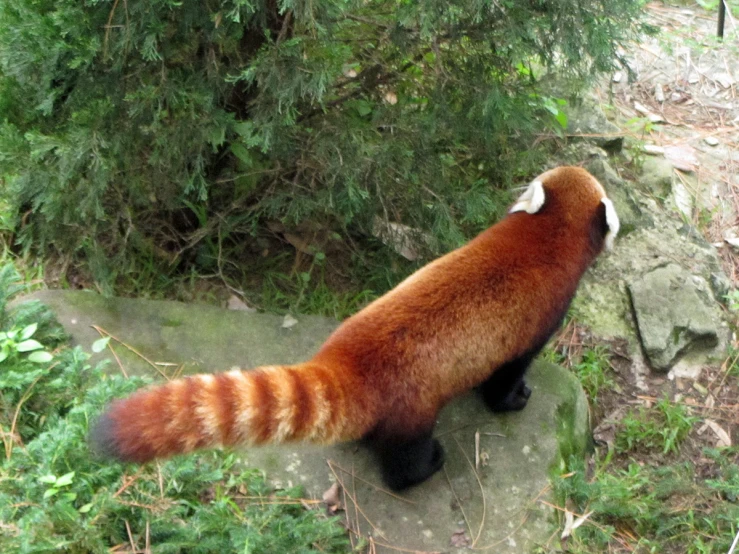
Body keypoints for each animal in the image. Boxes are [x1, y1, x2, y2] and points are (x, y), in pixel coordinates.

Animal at [94, 164, 624, 488]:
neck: (545, 231)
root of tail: (347, 360)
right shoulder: (539, 314)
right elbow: (507, 373)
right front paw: (514, 398)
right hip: (413, 407)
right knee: (404, 457)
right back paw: (427, 465)